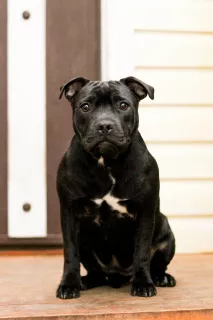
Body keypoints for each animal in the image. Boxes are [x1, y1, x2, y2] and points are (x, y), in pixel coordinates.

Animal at [55, 76, 176, 298]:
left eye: (123, 105)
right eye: (85, 106)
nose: (104, 125)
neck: (106, 162)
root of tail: (117, 275)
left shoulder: (145, 212)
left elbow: (142, 252)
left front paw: (143, 284)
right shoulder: (69, 212)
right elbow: (70, 254)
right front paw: (69, 284)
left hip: (165, 230)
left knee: (157, 263)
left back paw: (161, 278)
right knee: (95, 271)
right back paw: (85, 281)